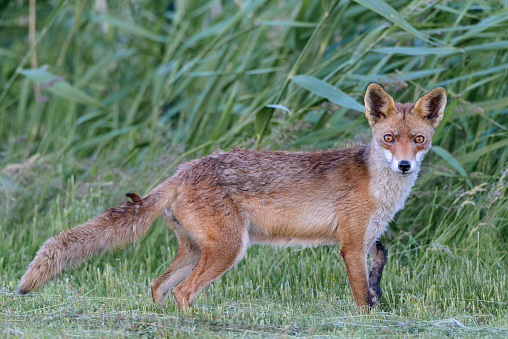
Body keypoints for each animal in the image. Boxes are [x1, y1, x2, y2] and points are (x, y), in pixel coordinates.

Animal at [16, 83, 444, 310]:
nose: (404, 165)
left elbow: (375, 276)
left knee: (159, 285)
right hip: (228, 249)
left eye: (418, 140)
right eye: (389, 138)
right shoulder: (351, 245)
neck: (379, 187)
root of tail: (183, 171)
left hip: (196, 250)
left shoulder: (368, 240)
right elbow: (360, 297)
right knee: (183, 291)